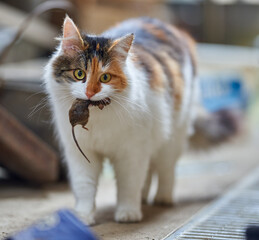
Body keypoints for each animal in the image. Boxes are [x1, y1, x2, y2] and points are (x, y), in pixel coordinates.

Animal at [44, 15, 240, 224]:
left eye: (105, 78)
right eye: (79, 74)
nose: (90, 93)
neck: (97, 116)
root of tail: (165, 25)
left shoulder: (131, 152)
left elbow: (129, 185)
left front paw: (128, 213)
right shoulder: (81, 153)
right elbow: (84, 187)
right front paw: (83, 216)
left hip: (171, 138)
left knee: (166, 170)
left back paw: (163, 198)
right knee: (149, 172)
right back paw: (144, 197)